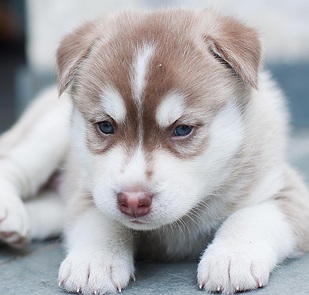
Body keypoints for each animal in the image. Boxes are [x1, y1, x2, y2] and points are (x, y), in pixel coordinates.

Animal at [0, 8, 308, 294]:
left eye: (182, 129)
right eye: (105, 126)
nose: (133, 201)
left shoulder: (286, 189)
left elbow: (253, 216)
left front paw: (232, 257)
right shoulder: (89, 190)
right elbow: (102, 220)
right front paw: (94, 261)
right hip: (47, 133)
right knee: (14, 163)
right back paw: (9, 212)